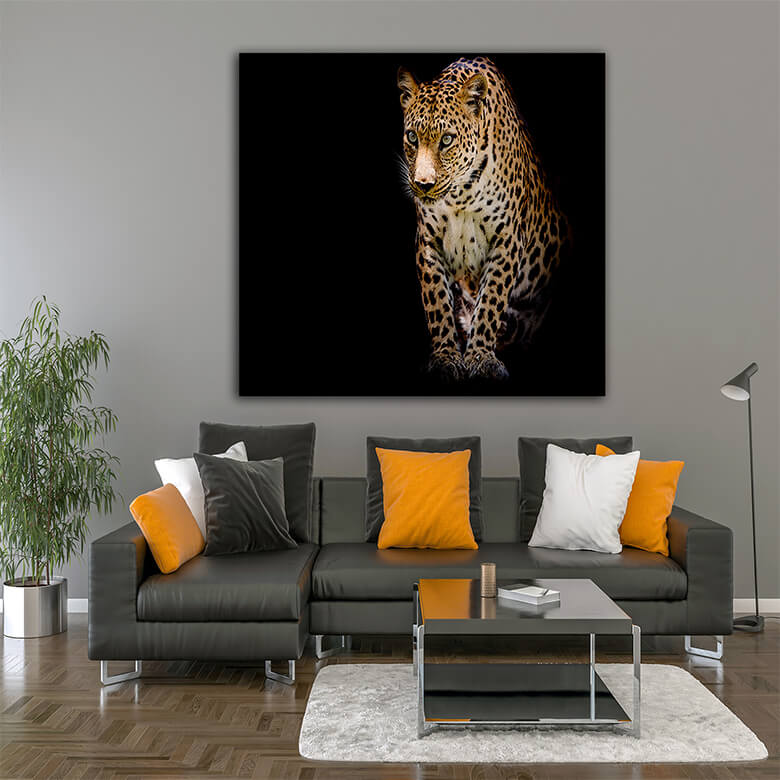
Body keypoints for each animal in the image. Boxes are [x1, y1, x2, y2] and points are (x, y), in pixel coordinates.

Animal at [398, 56, 572, 382]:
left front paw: (480, 358)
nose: (423, 184)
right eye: (412, 137)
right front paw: (445, 358)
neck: (461, 194)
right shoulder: (428, 241)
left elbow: (491, 299)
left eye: (447, 140)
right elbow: (437, 303)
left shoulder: (507, 239)